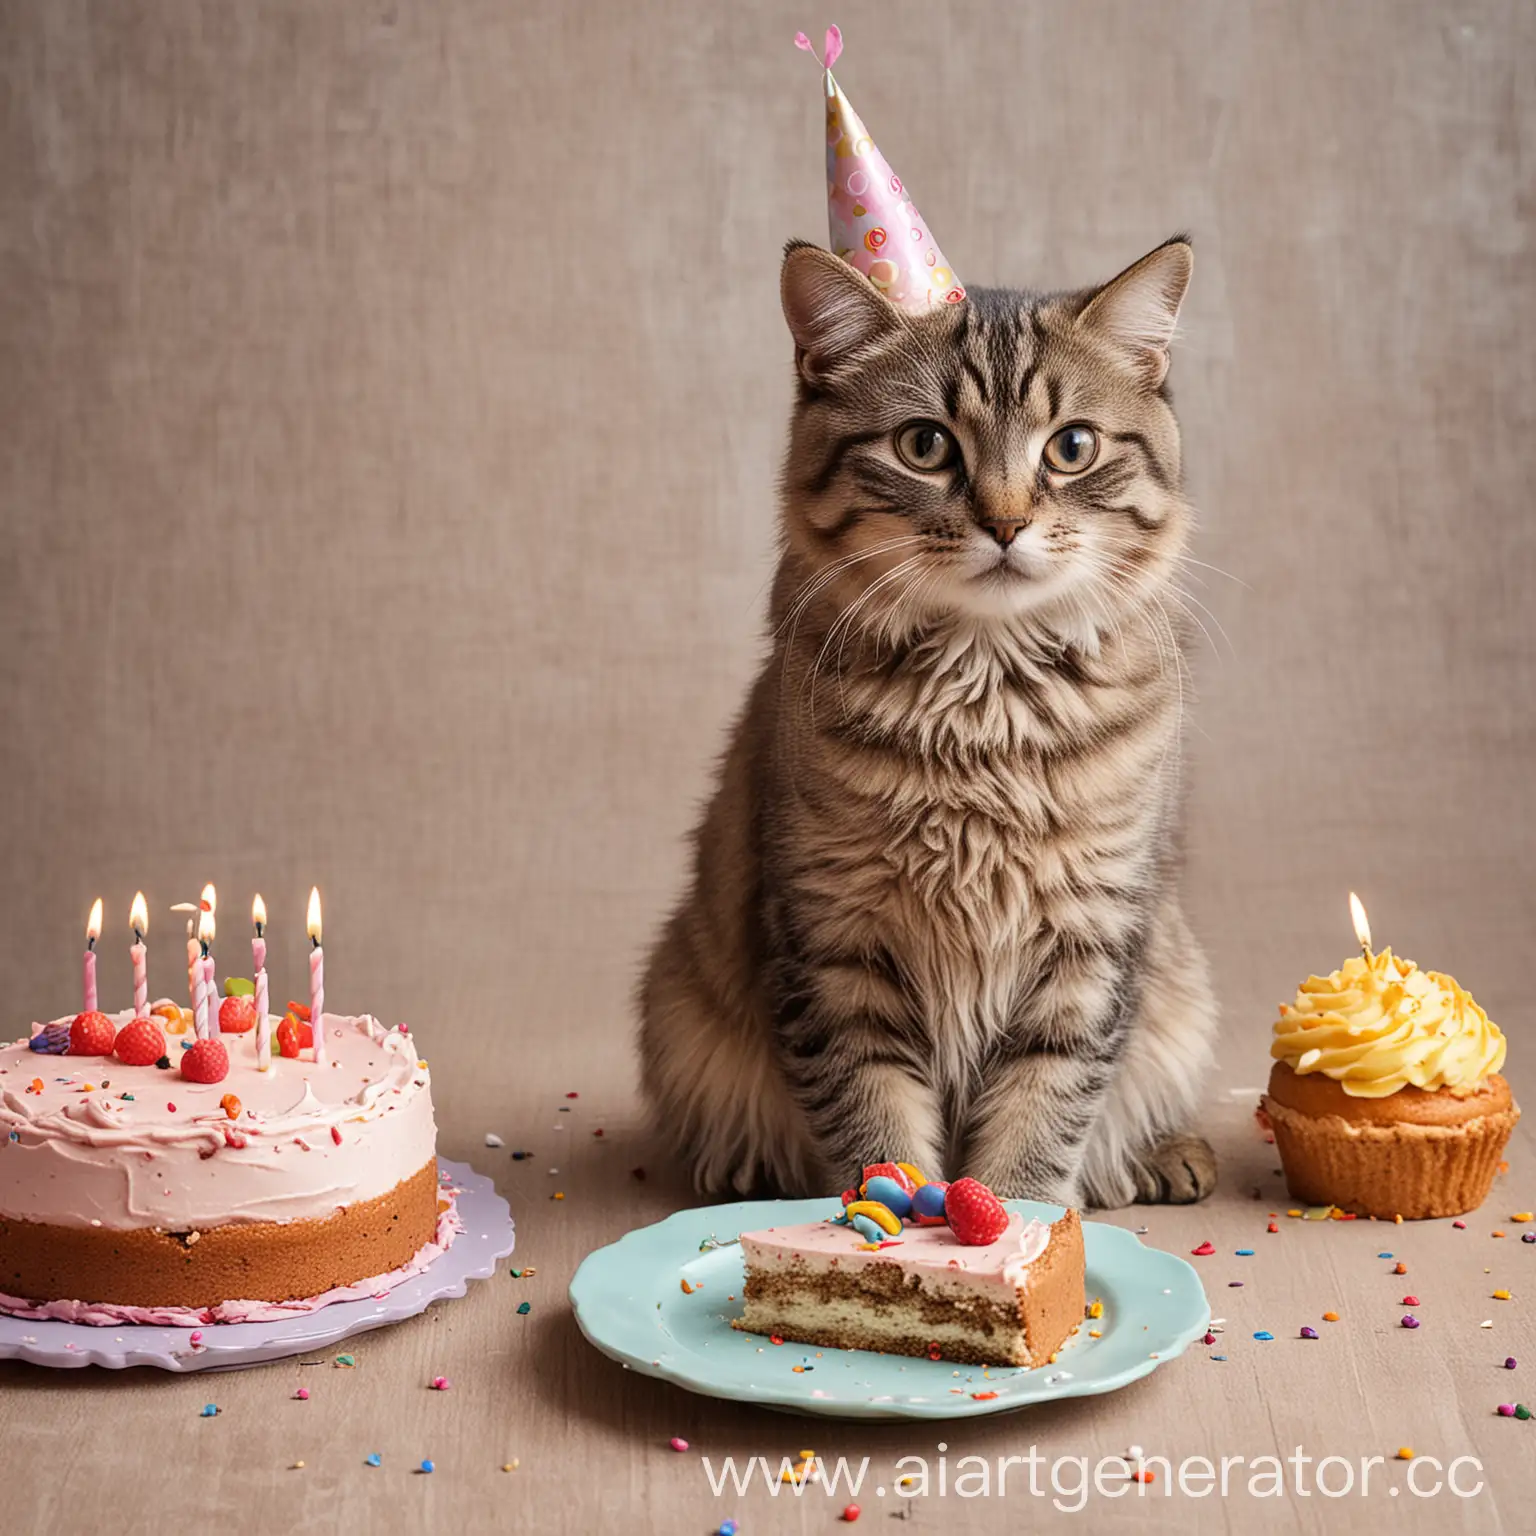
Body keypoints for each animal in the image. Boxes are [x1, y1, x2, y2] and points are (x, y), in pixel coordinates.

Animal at [635, 233, 1210, 1204]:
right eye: (924, 445)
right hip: (679, 1003)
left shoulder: (1092, 941)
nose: (1006, 523)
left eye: (1073, 448)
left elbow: (1041, 1122)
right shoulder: (834, 940)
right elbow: (878, 1128)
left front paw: (1018, 1223)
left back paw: (1163, 1158)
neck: (989, 707)